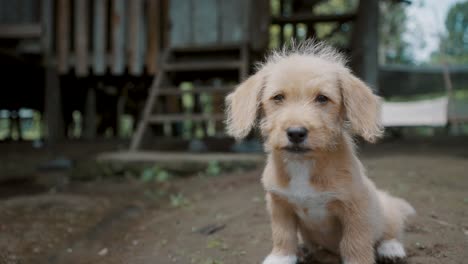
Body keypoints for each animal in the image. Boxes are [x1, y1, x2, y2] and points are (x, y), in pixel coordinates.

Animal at [225, 41, 414, 264]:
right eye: (278, 97)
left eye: (322, 98)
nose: (296, 133)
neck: (304, 165)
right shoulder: (279, 205)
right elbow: (283, 234)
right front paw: (281, 257)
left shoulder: (356, 208)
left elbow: (355, 241)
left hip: (387, 211)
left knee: (391, 230)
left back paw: (391, 248)